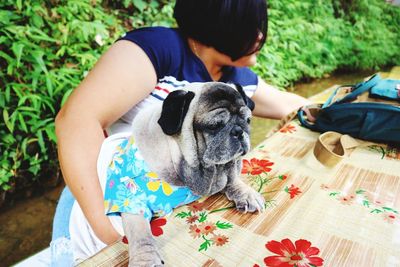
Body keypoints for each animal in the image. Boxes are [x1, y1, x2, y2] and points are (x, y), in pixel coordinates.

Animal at [116, 82, 266, 266]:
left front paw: (246, 193)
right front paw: (145, 259)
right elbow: (140, 234)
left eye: (247, 120)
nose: (238, 130)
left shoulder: (222, 173)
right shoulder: (133, 199)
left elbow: (233, 180)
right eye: (214, 126)